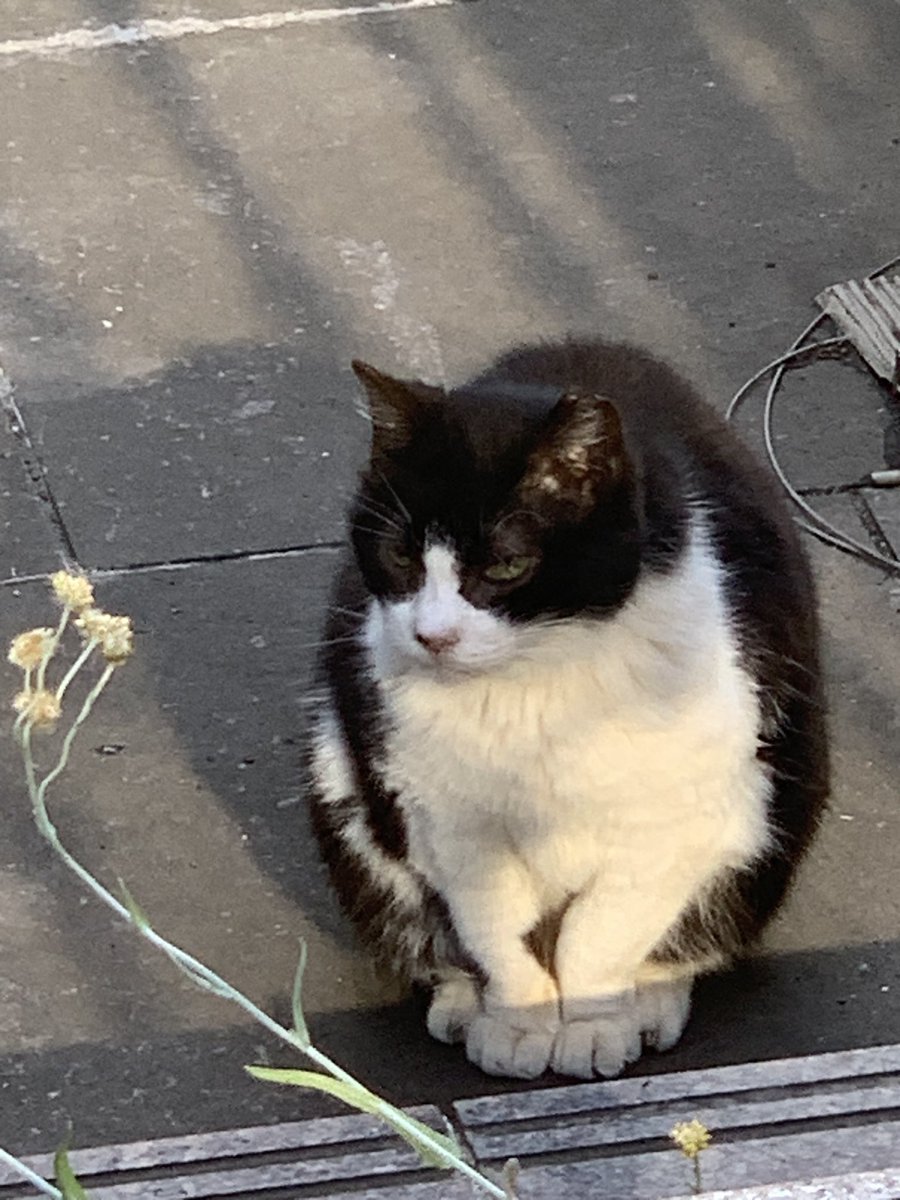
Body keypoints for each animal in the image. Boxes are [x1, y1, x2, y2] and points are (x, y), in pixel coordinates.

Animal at [307, 338, 830, 1080]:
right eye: (400, 555)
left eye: (505, 564)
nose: (432, 635)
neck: (533, 681)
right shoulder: (444, 819)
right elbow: (495, 926)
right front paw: (519, 1022)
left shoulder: (674, 821)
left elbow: (600, 934)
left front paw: (589, 1026)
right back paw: (463, 1002)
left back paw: (650, 1002)